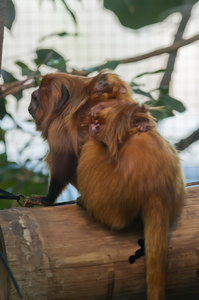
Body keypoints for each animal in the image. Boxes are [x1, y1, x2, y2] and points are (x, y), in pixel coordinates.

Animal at [28, 71, 187, 300]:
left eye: (35, 98)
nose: (29, 107)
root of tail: (157, 190)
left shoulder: (59, 129)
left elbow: (63, 162)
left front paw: (46, 199)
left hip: (113, 192)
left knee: (91, 148)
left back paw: (92, 208)